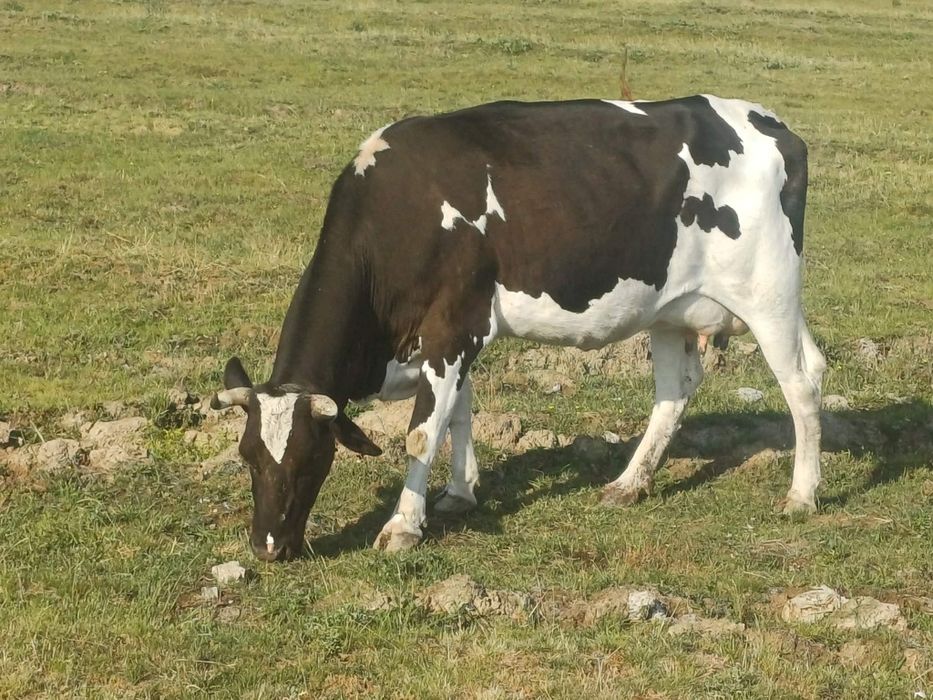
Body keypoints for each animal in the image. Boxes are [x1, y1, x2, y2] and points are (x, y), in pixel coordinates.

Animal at [211, 95, 825, 561]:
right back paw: (630, 484)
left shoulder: (453, 326)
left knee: (801, 384)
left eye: (310, 457)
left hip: (769, 292)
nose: (267, 547)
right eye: (247, 456)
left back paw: (802, 495)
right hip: (673, 307)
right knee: (679, 390)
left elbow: (421, 432)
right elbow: (457, 412)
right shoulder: (450, 338)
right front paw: (460, 492)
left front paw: (403, 525)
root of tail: (772, 124)